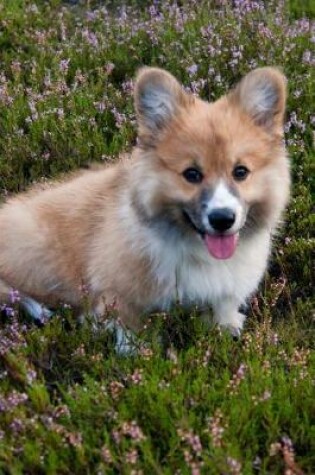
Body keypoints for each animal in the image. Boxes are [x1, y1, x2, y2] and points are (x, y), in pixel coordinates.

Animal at [0, 68, 292, 346]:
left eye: (241, 172)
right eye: (192, 174)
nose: (222, 219)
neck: (195, 248)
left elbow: (224, 304)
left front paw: (227, 326)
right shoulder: (118, 291)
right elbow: (130, 329)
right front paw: (138, 351)